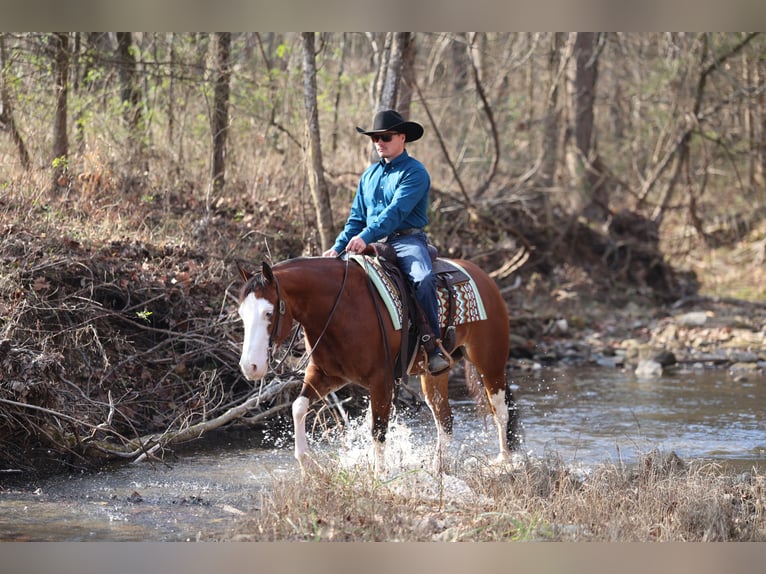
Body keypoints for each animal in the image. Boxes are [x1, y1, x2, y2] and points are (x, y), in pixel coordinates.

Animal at [236, 254, 520, 472]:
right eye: (241, 313)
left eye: (269, 313)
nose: (250, 367)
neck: (339, 309)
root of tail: (484, 277)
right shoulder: (327, 375)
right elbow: (298, 407)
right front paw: (307, 464)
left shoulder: (380, 380)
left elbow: (378, 430)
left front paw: (379, 476)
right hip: (435, 373)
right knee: (445, 420)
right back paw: (438, 468)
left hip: (490, 362)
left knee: (500, 410)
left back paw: (505, 462)